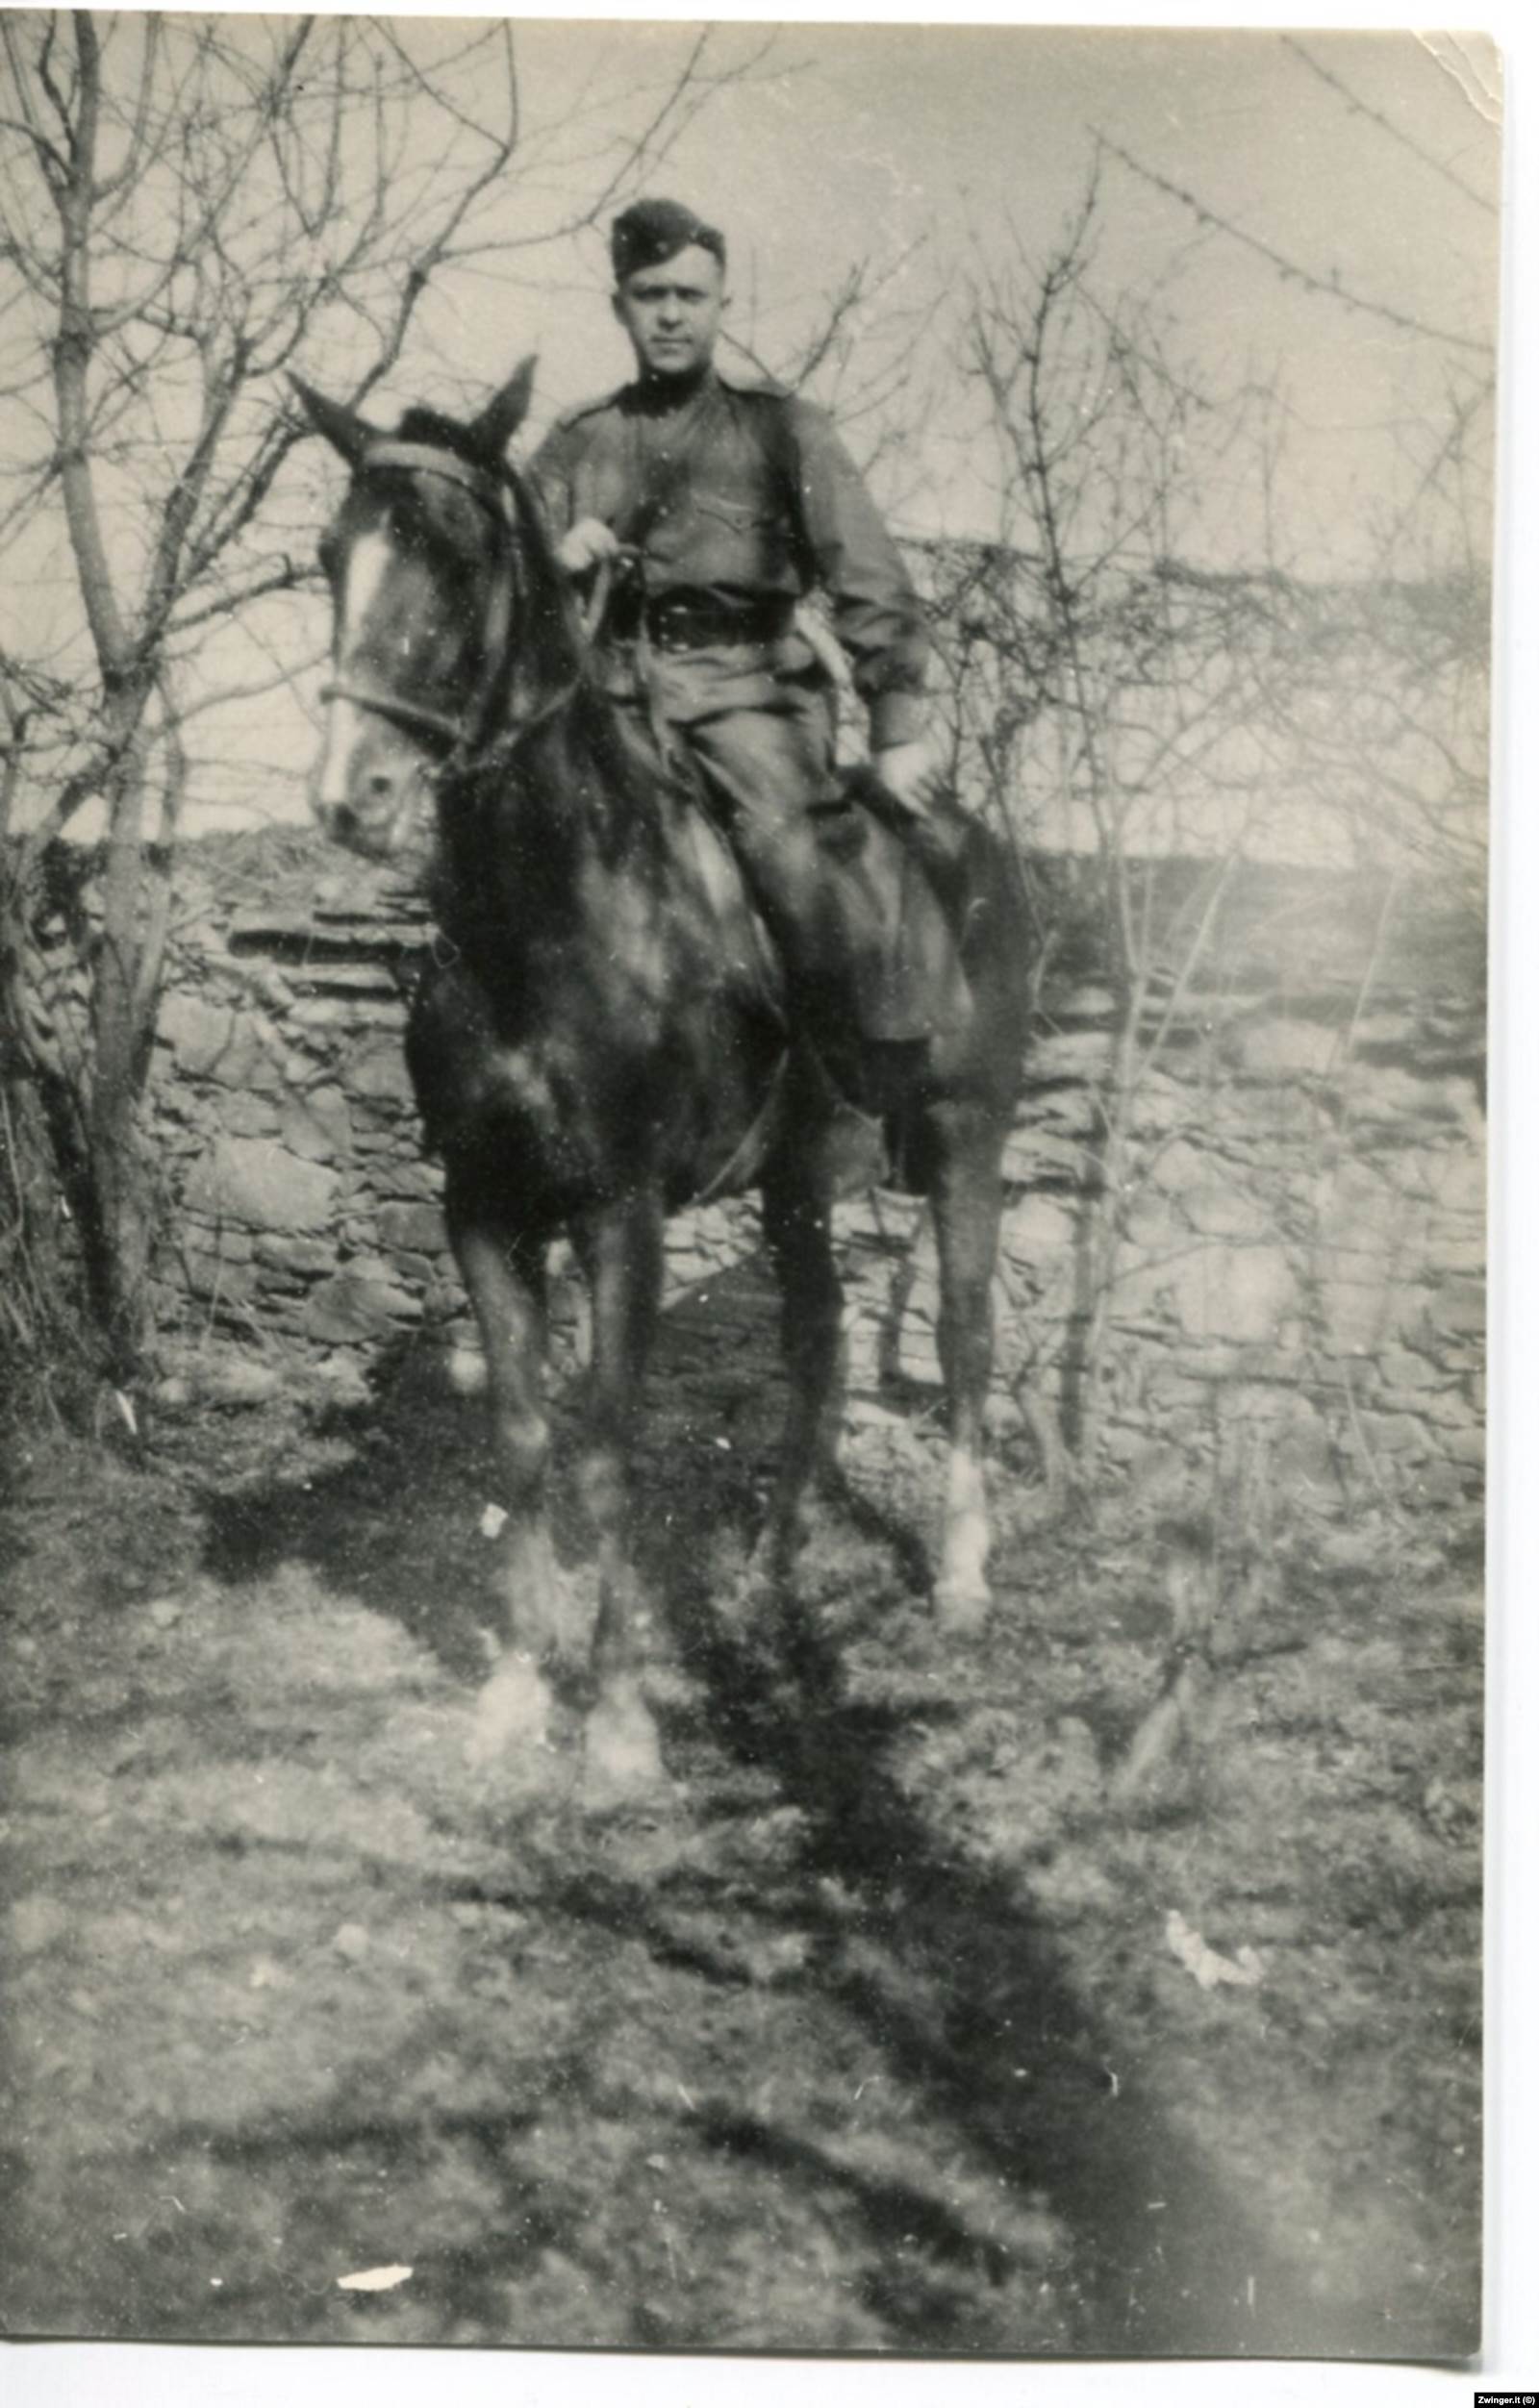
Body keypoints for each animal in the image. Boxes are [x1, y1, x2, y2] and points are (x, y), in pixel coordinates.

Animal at [294, 361, 1031, 1802]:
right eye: (330, 556)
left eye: (459, 561)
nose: (353, 797)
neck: (552, 914)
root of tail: (973, 837)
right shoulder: (486, 1210)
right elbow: (526, 1440)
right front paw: (518, 1691)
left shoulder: (619, 1215)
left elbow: (606, 1448)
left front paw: (620, 1720)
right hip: (797, 1181)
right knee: (820, 1343)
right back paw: (767, 1574)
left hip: (966, 1140)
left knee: (965, 1339)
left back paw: (965, 1580)